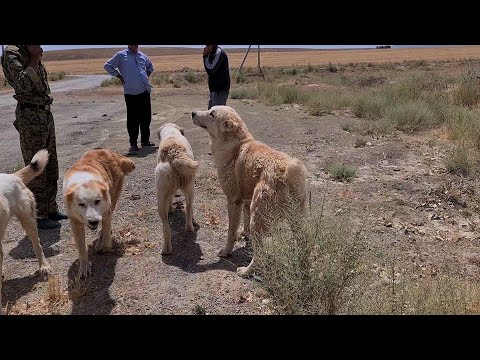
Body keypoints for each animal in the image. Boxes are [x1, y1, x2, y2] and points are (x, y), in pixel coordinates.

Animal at [62, 148, 135, 278]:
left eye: (97, 201)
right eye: (81, 204)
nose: (93, 221)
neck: (83, 181)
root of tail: (109, 152)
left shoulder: (106, 212)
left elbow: (107, 241)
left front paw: (103, 245)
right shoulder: (75, 223)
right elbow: (81, 248)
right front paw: (84, 267)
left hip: (113, 198)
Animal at [155, 122, 198, 255]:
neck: (171, 133)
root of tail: (174, 152)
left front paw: (171, 209)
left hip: (162, 196)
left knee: (167, 226)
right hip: (189, 188)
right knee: (188, 209)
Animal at [191, 105, 308, 278]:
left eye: (212, 114)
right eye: (209, 109)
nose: (192, 113)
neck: (235, 145)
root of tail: (288, 171)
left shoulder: (233, 201)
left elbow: (231, 232)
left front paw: (226, 251)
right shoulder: (245, 200)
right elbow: (244, 223)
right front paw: (245, 234)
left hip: (258, 216)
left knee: (259, 254)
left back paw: (246, 271)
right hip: (296, 220)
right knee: (304, 244)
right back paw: (303, 268)